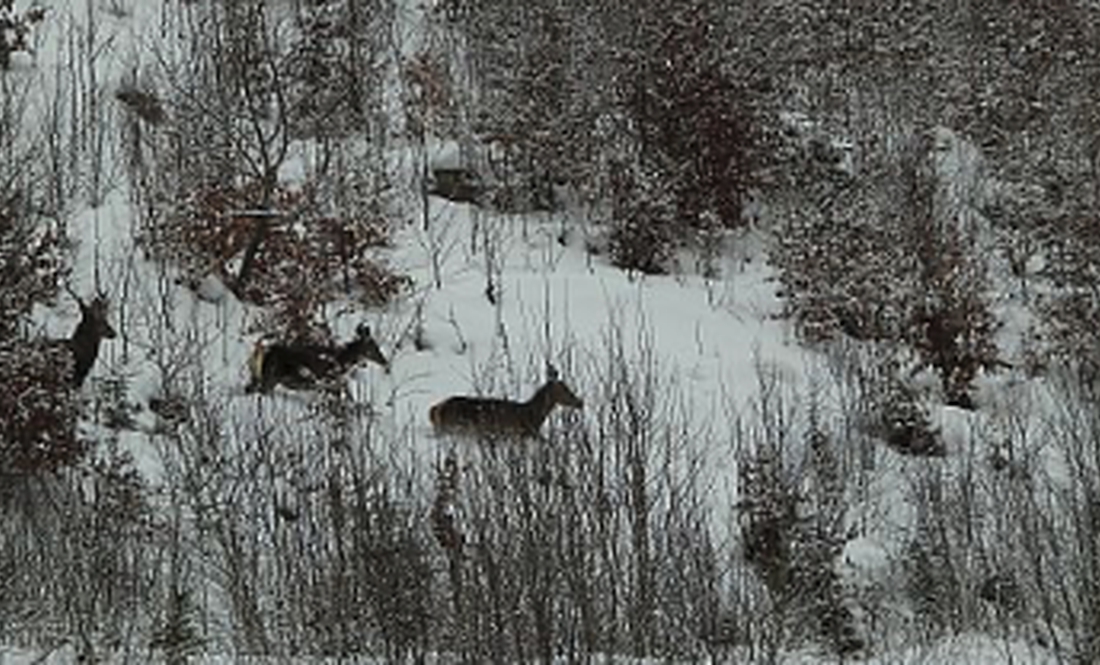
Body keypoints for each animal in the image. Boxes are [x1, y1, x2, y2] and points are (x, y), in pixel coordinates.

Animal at [247, 323, 389, 393]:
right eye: (374, 346)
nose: (385, 361)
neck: (342, 361)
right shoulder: (328, 381)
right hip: (270, 378)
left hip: (257, 378)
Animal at [426, 364, 585, 437]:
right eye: (565, 389)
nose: (580, 402)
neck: (532, 415)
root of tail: (435, 410)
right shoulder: (522, 434)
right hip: (455, 428)